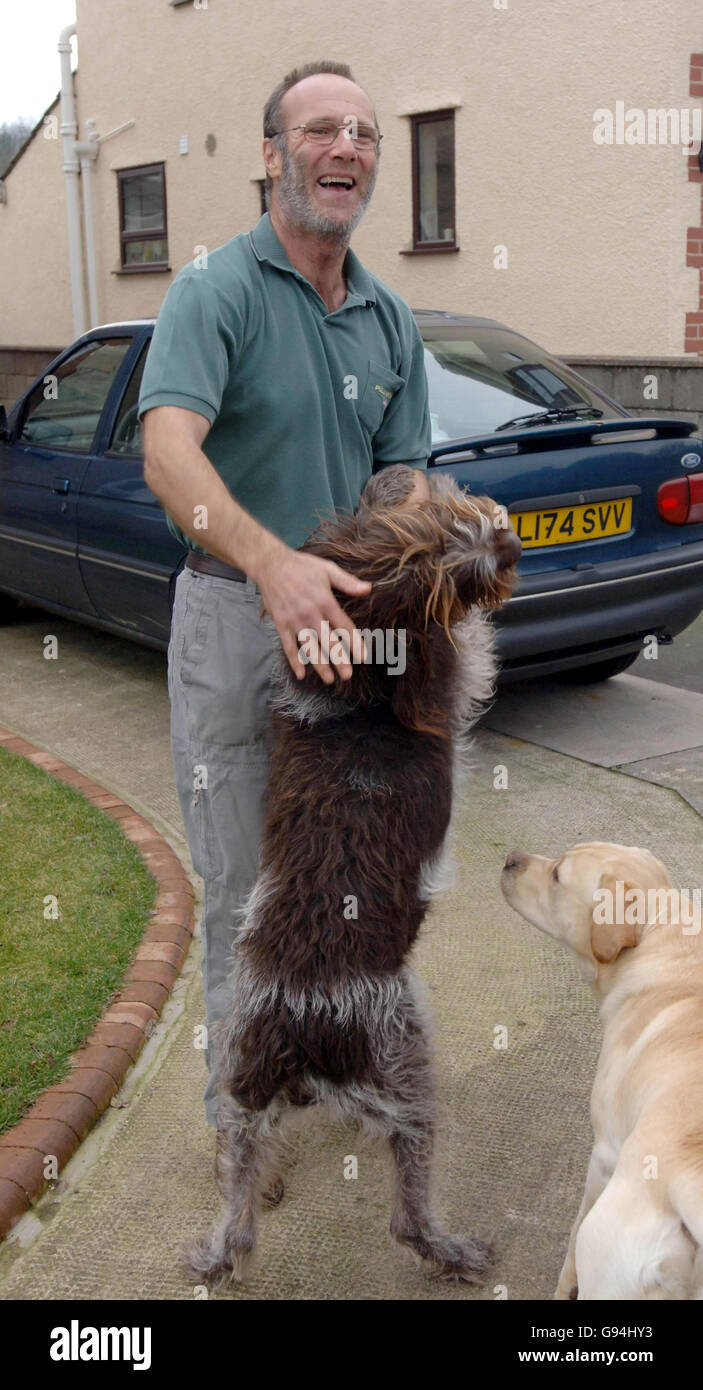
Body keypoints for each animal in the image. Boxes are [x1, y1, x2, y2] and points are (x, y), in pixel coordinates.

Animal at [183, 464, 519, 1278]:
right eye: (435, 541)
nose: (509, 547)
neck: (359, 681)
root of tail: (298, 1020)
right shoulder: (454, 674)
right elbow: (474, 653)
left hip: (244, 1090)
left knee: (239, 1202)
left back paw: (224, 1248)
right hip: (406, 1068)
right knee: (408, 1213)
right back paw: (453, 1251)